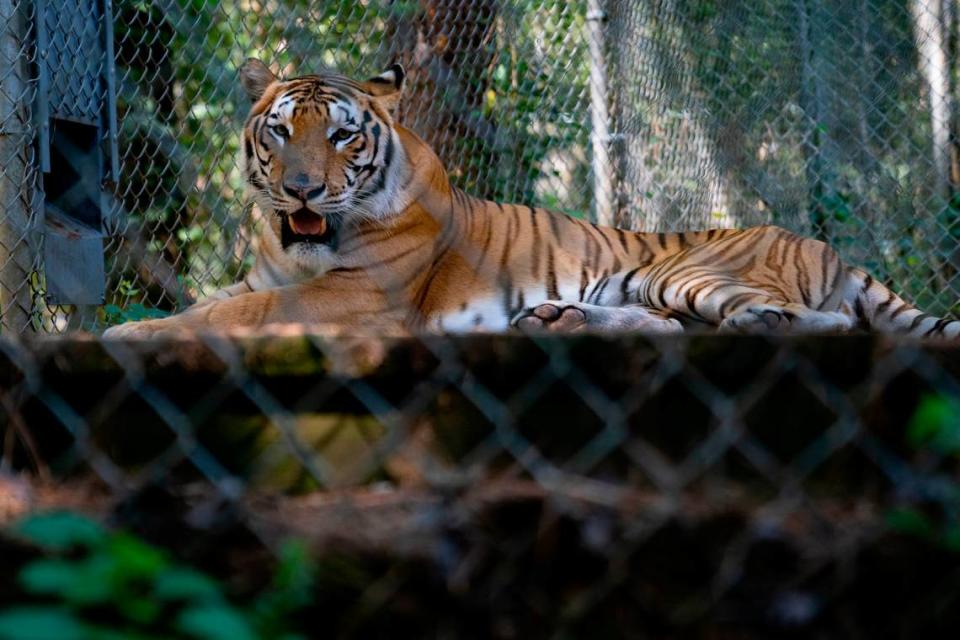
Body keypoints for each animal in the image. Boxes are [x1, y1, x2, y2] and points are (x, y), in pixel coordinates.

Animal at [105, 59, 960, 340]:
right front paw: (140, 325)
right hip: (653, 287)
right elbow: (208, 305)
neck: (301, 246)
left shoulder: (354, 297)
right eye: (280, 132)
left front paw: (125, 334)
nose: (301, 189)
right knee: (666, 326)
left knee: (820, 320)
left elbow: (231, 316)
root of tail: (822, 244)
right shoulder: (265, 278)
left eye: (343, 137)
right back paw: (555, 319)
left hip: (690, 272)